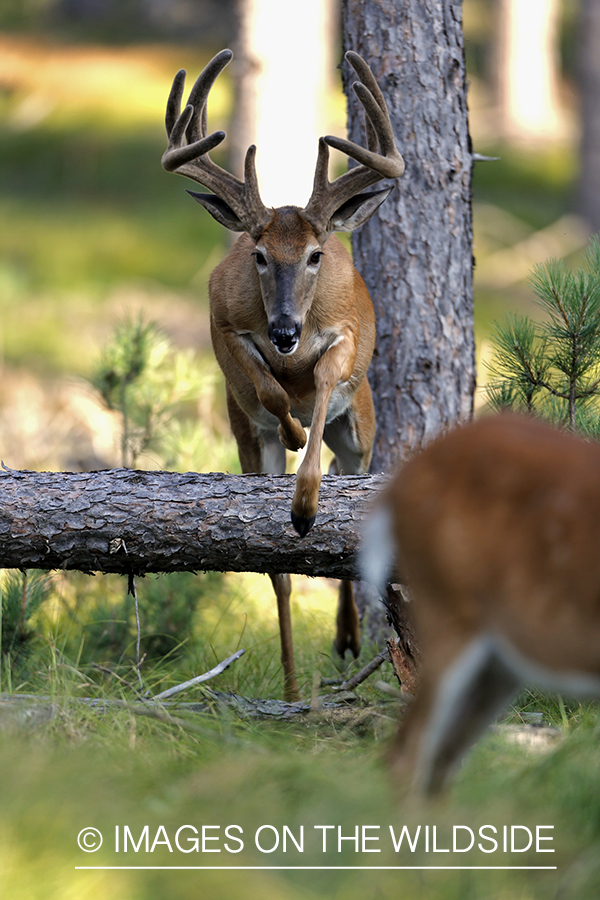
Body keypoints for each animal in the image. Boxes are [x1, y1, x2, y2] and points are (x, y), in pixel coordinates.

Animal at [163, 49, 404, 700]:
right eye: (259, 255)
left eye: (316, 255)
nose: (286, 330)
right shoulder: (228, 329)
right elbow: (269, 389)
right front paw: (293, 434)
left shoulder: (345, 335)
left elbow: (321, 389)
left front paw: (304, 503)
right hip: (246, 444)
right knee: (278, 573)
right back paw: (296, 690)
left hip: (363, 426)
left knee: (353, 488)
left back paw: (346, 636)